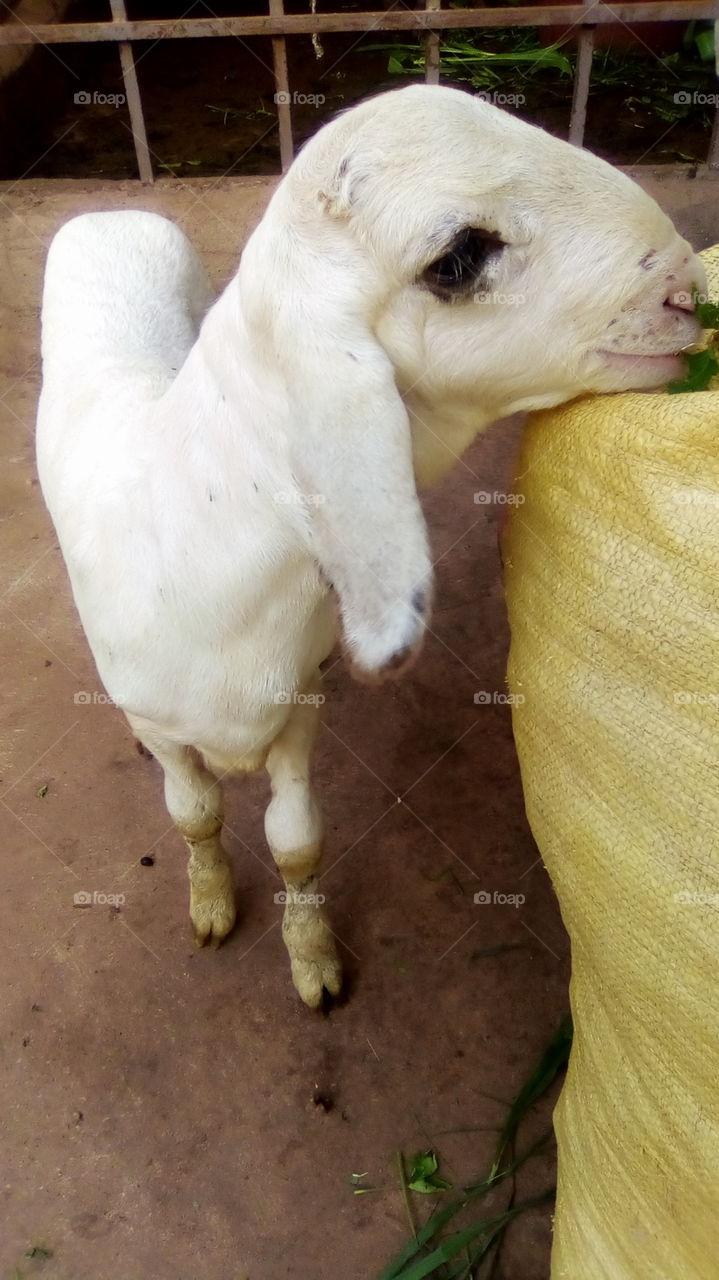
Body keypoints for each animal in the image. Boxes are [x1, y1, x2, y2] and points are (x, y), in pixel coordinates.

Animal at [36, 84, 704, 1007]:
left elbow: (295, 842)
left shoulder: (296, 716)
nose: (688, 291)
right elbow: (194, 816)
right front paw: (211, 906)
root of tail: (108, 209)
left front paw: (312, 961)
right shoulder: (167, 728)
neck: (193, 543)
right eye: (456, 258)